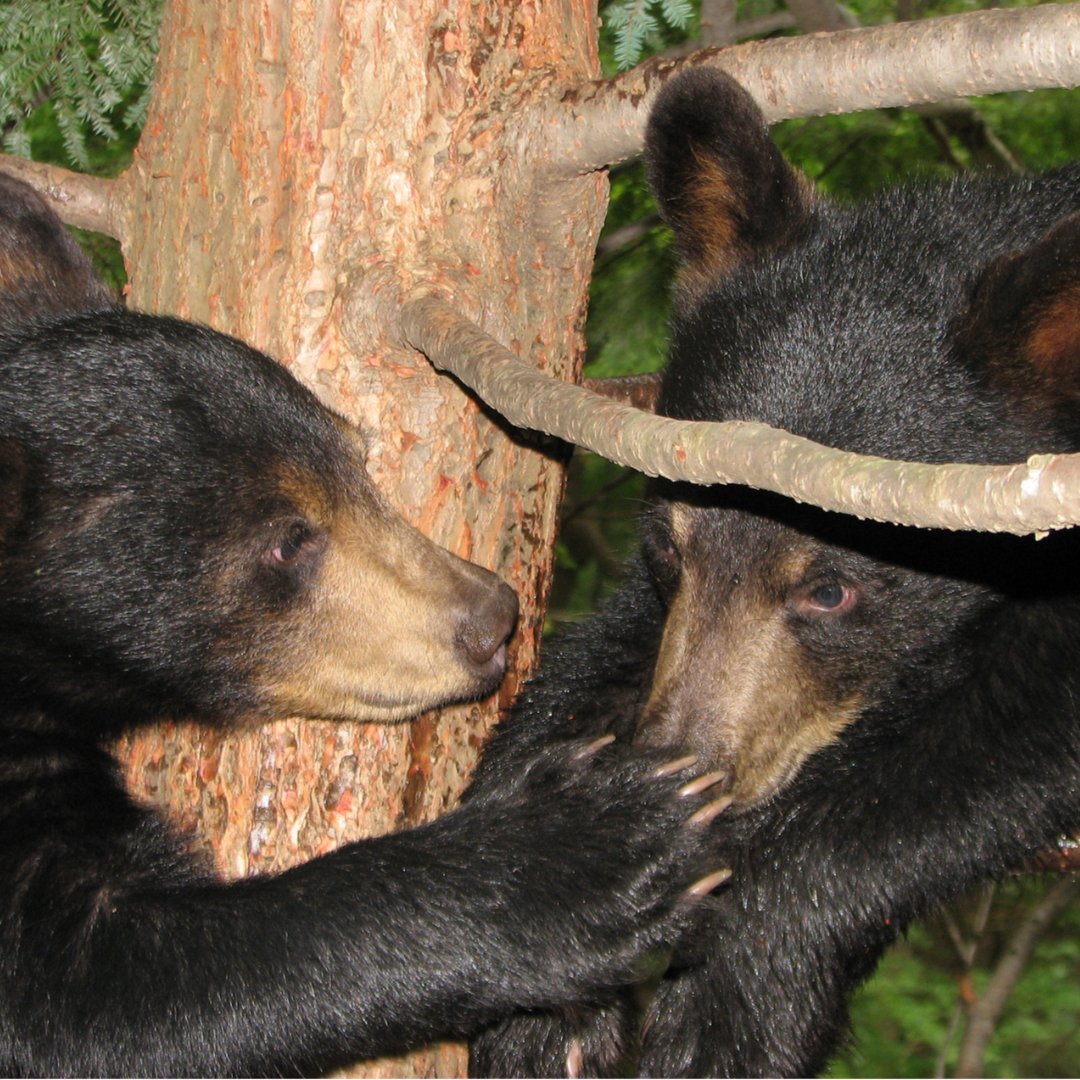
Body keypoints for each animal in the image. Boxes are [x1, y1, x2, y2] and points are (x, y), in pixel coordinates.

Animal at [467, 69, 1080, 1077]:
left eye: (830, 589)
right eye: (668, 548)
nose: (679, 763)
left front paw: (729, 1008)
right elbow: (598, 660)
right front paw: (557, 899)